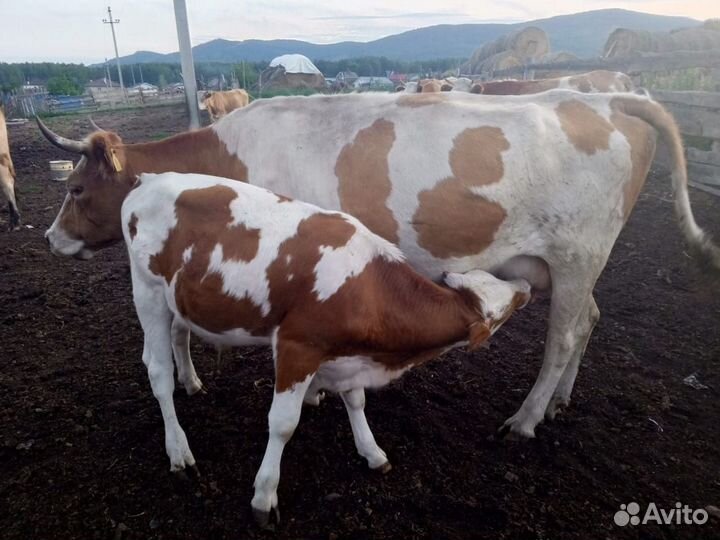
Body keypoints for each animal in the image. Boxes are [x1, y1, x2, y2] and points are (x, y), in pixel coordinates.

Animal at [38, 90, 720, 443]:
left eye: (75, 190)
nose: (49, 238)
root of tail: (600, 95)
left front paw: (312, 394)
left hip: (578, 256)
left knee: (562, 338)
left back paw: (526, 419)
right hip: (574, 266)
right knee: (588, 323)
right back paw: (559, 403)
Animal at [125, 170, 530, 523]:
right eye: (506, 308)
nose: (526, 285)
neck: (367, 286)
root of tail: (150, 178)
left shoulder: (344, 351)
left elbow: (355, 400)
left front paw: (371, 451)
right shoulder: (297, 346)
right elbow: (283, 424)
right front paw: (264, 495)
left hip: (179, 298)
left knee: (179, 335)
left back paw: (191, 382)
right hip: (148, 291)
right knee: (157, 371)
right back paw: (179, 450)